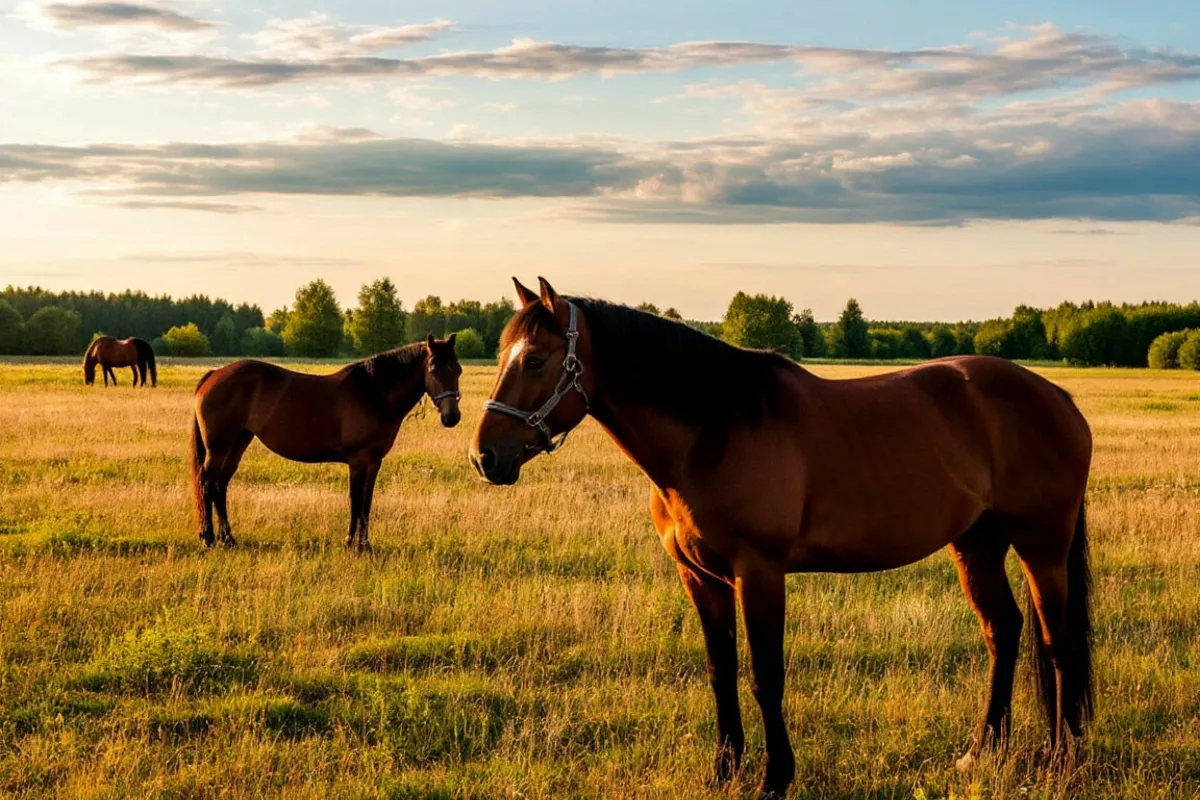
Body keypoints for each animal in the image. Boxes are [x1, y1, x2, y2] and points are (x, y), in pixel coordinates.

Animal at [190, 334, 463, 550]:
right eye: (434, 369)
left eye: (458, 370)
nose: (452, 417)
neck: (373, 392)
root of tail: (214, 374)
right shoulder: (358, 459)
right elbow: (355, 500)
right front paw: (351, 544)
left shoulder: (374, 462)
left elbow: (367, 502)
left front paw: (365, 545)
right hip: (218, 449)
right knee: (207, 484)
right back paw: (209, 538)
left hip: (236, 445)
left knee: (219, 486)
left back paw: (228, 539)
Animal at [471, 278, 1094, 798]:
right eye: (502, 356)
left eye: (535, 360)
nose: (485, 456)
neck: (714, 430)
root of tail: (1058, 398)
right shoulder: (700, 578)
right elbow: (721, 672)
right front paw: (723, 770)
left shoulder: (760, 573)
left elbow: (765, 676)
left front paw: (775, 777)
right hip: (977, 543)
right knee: (1003, 630)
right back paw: (982, 752)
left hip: (1042, 546)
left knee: (1058, 643)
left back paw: (1062, 761)